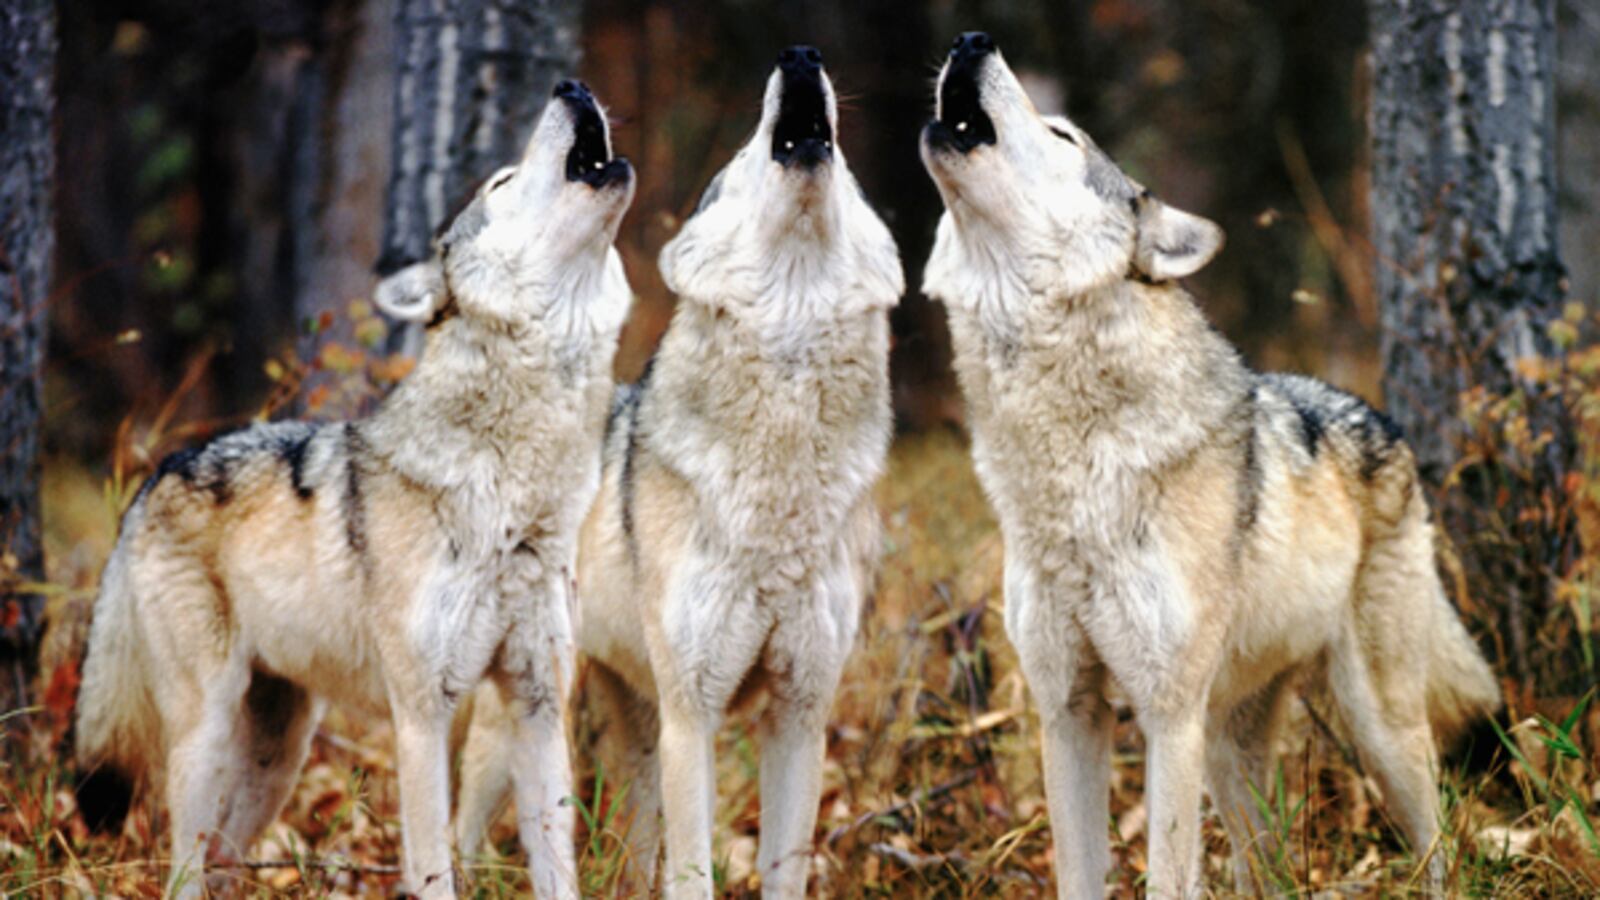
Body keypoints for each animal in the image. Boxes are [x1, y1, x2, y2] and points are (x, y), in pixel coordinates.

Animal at [73, 80, 634, 899]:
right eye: (500, 182)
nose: (573, 86)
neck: (516, 495)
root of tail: (159, 472)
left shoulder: (536, 705)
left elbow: (555, 866)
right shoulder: (421, 716)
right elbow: (433, 867)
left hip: (279, 754)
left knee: (224, 862)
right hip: (205, 737)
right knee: (181, 867)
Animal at [454, 45, 903, 899]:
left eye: (854, 173)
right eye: (741, 156)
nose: (801, 55)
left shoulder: (800, 716)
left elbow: (784, 872)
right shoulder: (694, 717)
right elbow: (693, 875)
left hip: (636, 728)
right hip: (530, 721)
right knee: (464, 836)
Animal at [918, 32, 1500, 898]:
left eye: (1062, 135)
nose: (970, 40)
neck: (1067, 468)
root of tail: (1381, 418)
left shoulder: (1169, 717)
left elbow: (1166, 875)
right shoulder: (1068, 713)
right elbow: (1078, 873)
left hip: (1378, 729)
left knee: (1441, 846)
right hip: (1234, 755)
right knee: (1274, 871)